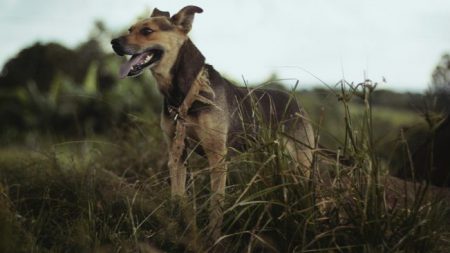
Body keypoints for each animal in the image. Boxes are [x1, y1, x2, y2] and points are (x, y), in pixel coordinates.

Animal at [110, 4, 314, 240]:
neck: (186, 93)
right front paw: (177, 229)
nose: (113, 43)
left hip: (301, 161)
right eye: (130, 29)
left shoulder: (216, 156)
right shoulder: (176, 154)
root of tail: (297, 104)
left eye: (147, 31)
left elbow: (216, 203)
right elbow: (177, 196)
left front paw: (214, 237)